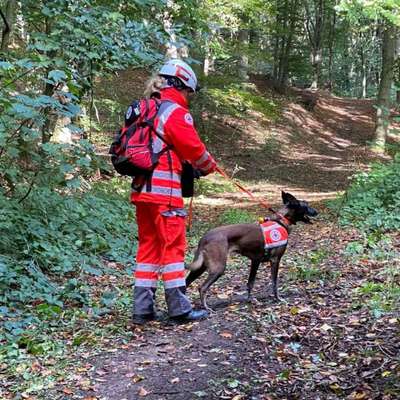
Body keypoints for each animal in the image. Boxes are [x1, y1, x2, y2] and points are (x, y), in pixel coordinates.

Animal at [185, 191, 318, 312]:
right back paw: (206, 307)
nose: (317, 212)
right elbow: (274, 283)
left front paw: (250, 300)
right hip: (218, 268)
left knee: (186, 283)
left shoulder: (255, 260)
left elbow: (250, 283)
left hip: (200, 267)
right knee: (202, 287)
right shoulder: (274, 260)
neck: (281, 221)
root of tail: (204, 237)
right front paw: (278, 299)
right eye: (306, 205)